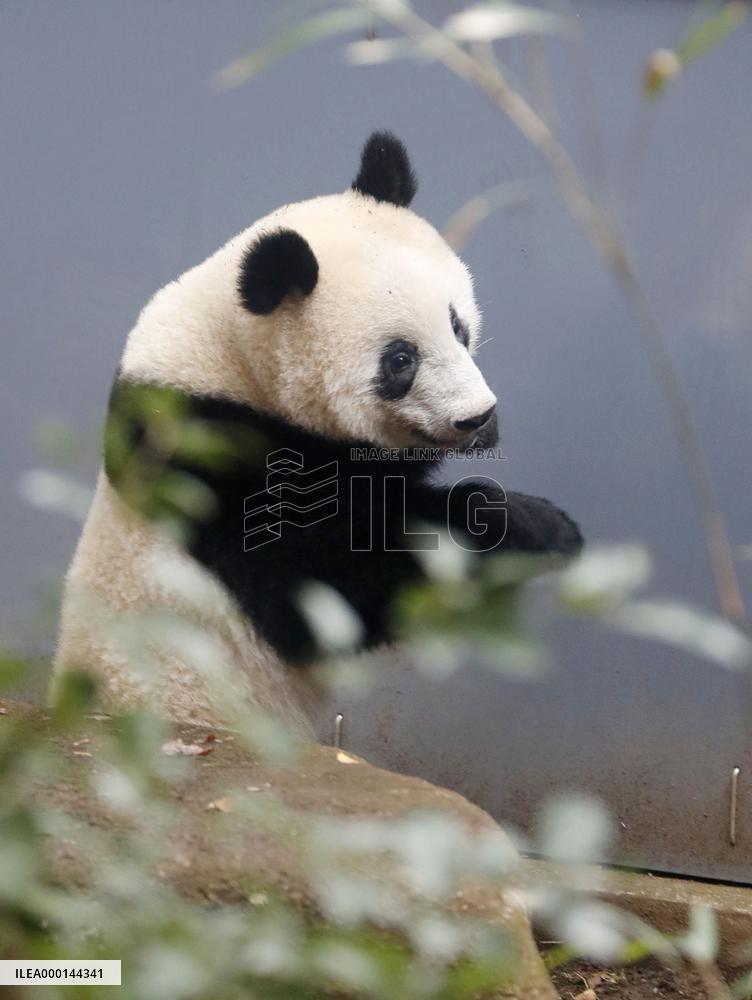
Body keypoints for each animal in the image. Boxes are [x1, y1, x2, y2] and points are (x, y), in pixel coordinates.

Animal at [54, 132, 583, 735]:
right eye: (400, 360)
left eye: (457, 325)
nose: (478, 418)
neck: (230, 360)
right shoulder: (210, 457)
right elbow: (330, 580)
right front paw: (533, 523)